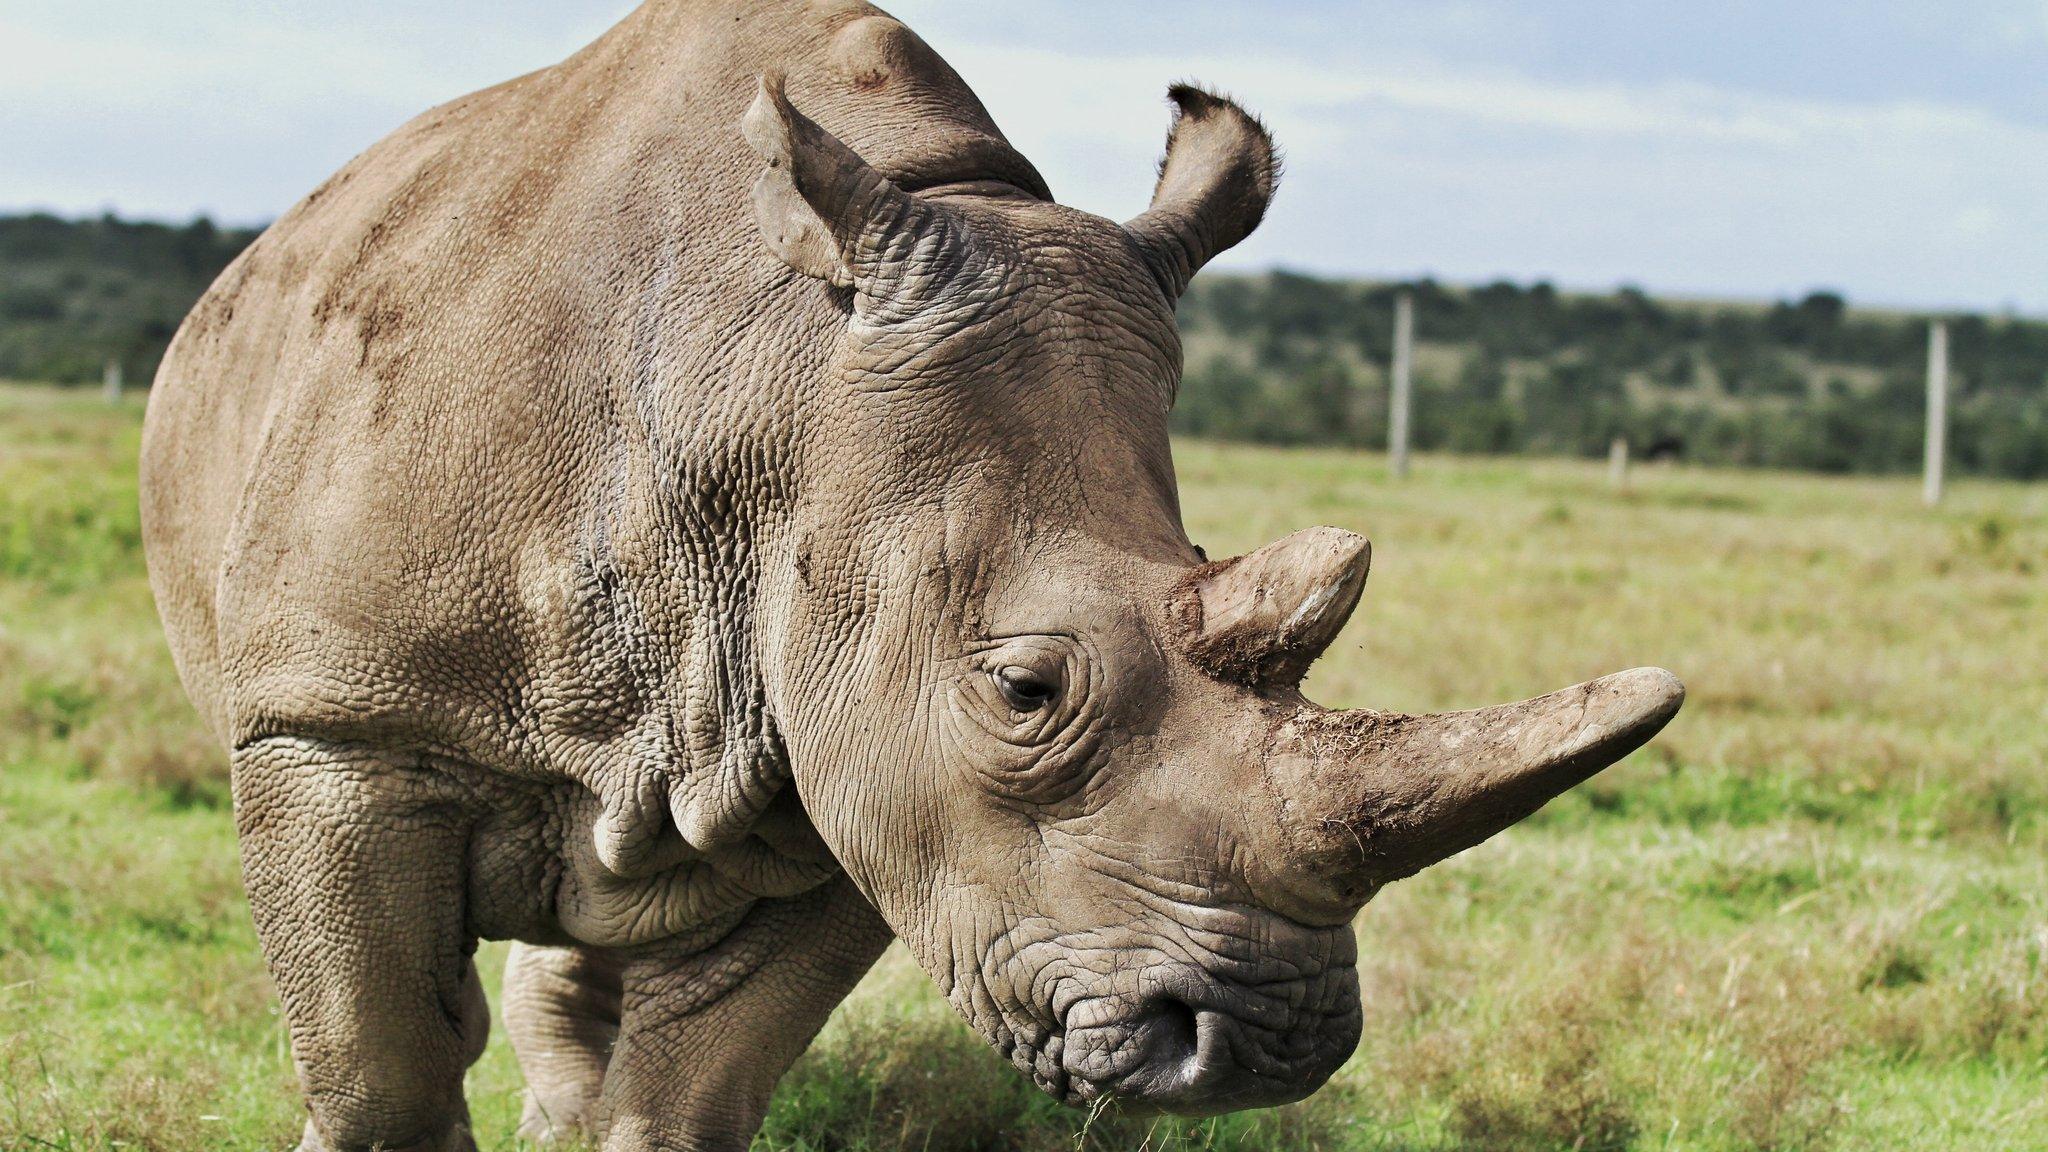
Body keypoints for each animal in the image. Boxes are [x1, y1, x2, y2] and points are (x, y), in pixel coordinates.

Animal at [140, 4, 1679, 1139]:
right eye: (1023, 690)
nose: (1268, 1044)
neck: (770, 388)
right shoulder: (336, 724)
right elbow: (377, 1070)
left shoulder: (850, 767)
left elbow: (691, 1094)